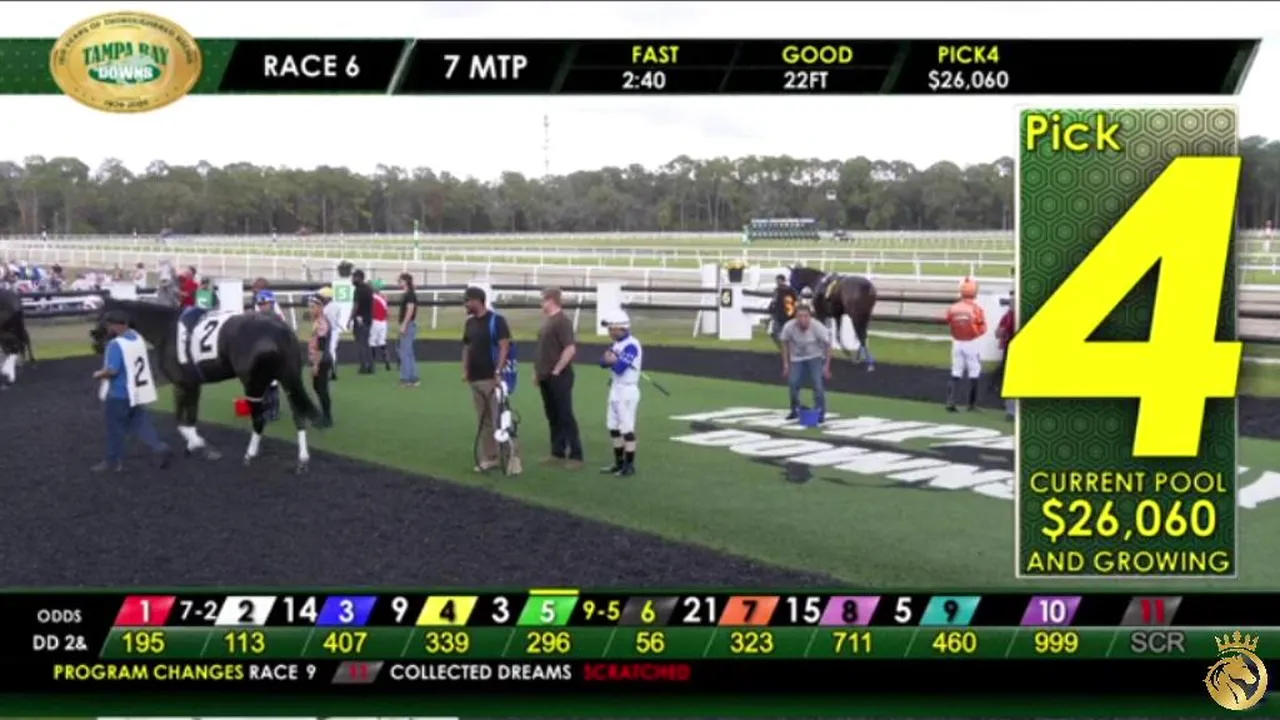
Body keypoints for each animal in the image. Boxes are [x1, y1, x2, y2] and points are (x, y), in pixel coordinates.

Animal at [90, 298, 324, 473]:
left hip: (253, 384)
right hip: (288, 378)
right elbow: (190, 418)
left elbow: (181, 421)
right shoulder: (192, 385)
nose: (95, 343)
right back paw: (302, 459)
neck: (167, 328)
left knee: (259, 418)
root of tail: (280, 330)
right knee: (298, 412)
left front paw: (200, 445)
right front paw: (192, 446)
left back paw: (249, 455)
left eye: (102, 316)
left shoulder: (182, 384)